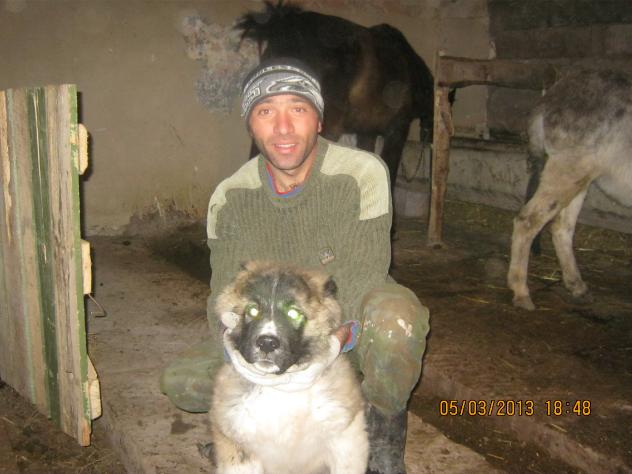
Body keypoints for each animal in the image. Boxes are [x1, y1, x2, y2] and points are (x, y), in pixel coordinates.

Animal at [209, 261, 368, 474]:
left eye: (294, 313)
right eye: (253, 310)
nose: (267, 343)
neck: (282, 388)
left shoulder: (346, 438)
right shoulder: (239, 449)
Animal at [508, 69, 632, 311]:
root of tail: (552, 95)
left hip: (579, 177)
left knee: (561, 226)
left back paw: (577, 286)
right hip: (567, 170)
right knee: (528, 221)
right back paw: (521, 292)